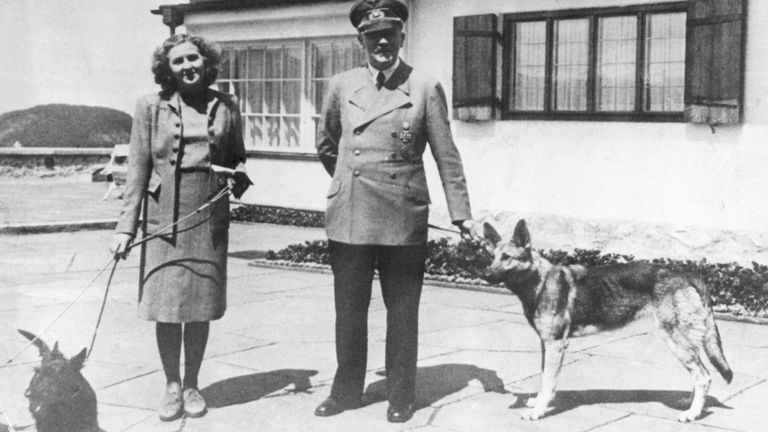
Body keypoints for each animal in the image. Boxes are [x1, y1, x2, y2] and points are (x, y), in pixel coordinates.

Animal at [480, 219, 732, 422]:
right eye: (491, 257)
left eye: (507, 257)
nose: (485, 274)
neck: (538, 281)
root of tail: (685, 274)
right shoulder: (546, 344)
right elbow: (544, 377)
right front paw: (538, 402)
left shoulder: (555, 344)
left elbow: (549, 381)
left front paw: (539, 410)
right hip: (684, 344)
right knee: (699, 374)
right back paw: (689, 403)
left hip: (676, 342)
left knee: (703, 376)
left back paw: (692, 414)